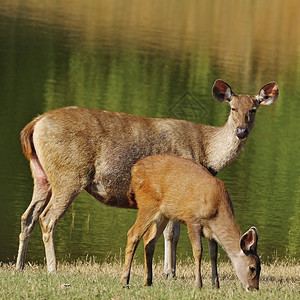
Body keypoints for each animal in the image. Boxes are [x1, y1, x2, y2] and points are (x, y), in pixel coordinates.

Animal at [121, 155, 260, 290]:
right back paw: (125, 282)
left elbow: (213, 254)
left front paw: (216, 285)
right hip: (147, 204)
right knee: (133, 234)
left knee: (149, 240)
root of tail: (135, 168)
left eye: (260, 267)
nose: (254, 288)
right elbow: (198, 251)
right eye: (252, 267)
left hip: (164, 214)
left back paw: (148, 281)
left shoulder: (211, 232)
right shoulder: (192, 220)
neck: (217, 208)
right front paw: (198, 285)